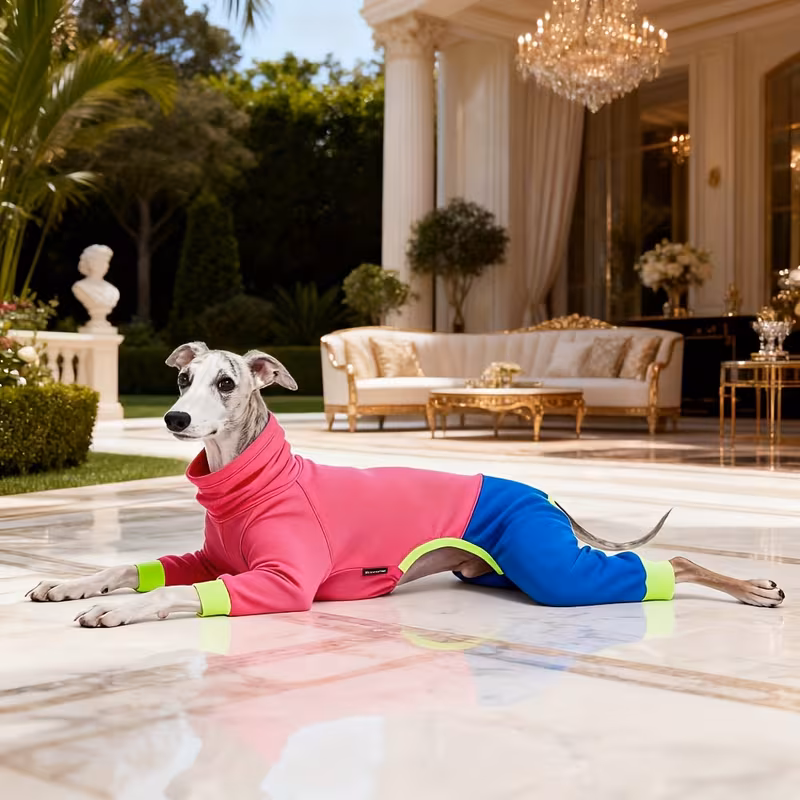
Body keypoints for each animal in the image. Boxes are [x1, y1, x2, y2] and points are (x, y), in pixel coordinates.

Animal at [27, 343, 785, 627]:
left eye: (226, 383)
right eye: (184, 377)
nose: (176, 418)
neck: (251, 480)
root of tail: (542, 492)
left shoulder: (282, 581)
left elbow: (172, 593)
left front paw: (115, 611)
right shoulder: (215, 556)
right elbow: (137, 565)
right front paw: (69, 584)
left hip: (552, 569)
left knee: (668, 560)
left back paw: (757, 587)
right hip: (501, 569)